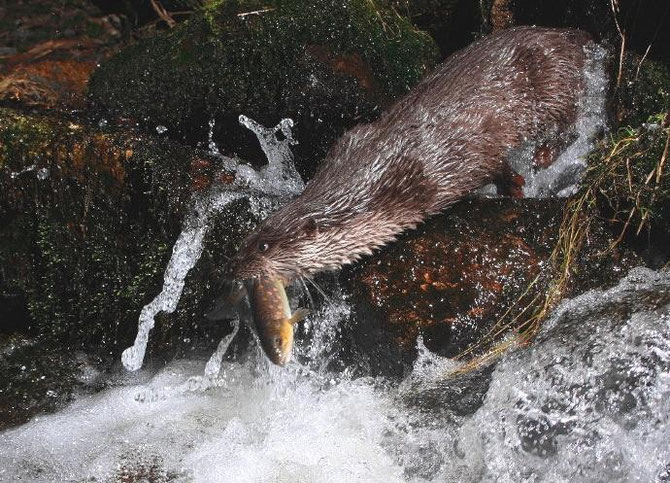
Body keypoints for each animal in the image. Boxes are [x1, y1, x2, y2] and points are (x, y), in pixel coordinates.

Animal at [234, 26, 596, 282]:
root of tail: (564, 34)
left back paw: (544, 155)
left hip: (553, 83)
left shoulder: (455, 153)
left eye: (265, 247)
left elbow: (494, 161)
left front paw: (514, 186)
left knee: (569, 122)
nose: (231, 271)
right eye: (248, 240)